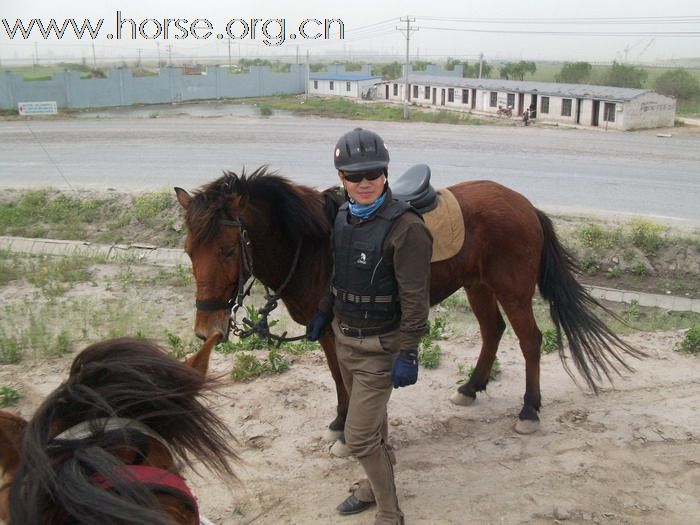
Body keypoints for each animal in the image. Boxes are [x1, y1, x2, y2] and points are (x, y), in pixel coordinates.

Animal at [176, 167, 644, 434]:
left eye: (227, 251)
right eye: (189, 250)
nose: (206, 329)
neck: (313, 244)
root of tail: (525, 204)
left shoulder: (338, 329)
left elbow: (345, 379)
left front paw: (348, 424)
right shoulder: (326, 329)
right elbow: (337, 376)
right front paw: (343, 419)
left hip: (512, 289)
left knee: (530, 340)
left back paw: (529, 410)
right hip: (478, 286)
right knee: (493, 331)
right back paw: (472, 387)